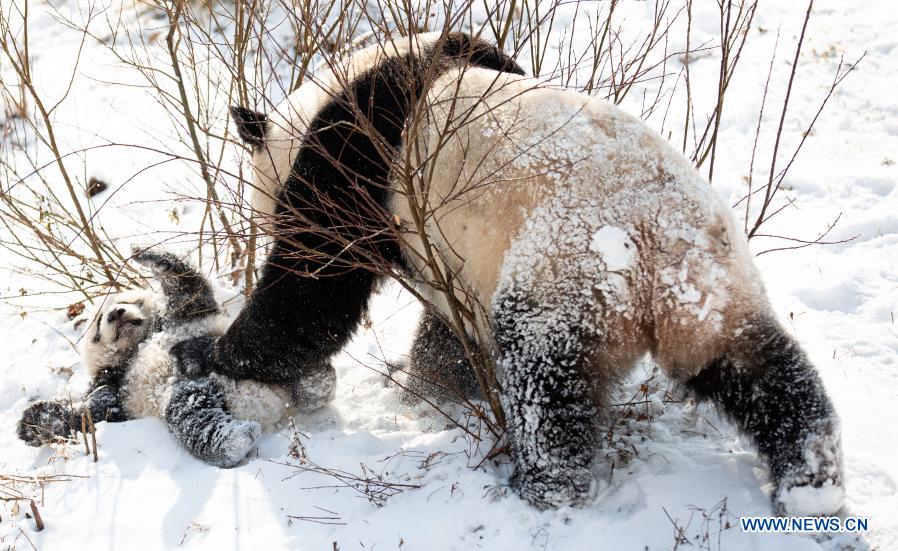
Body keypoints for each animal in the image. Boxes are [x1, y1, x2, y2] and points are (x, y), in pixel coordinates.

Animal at [172, 32, 844, 516]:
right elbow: (446, 326)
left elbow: (314, 286)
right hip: (714, 284)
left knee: (544, 378)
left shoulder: (354, 156)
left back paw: (541, 484)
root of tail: (656, 243)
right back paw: (811, 478)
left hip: (565, 267)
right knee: (760, 368)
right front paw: (433, 381)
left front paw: (206, 352)